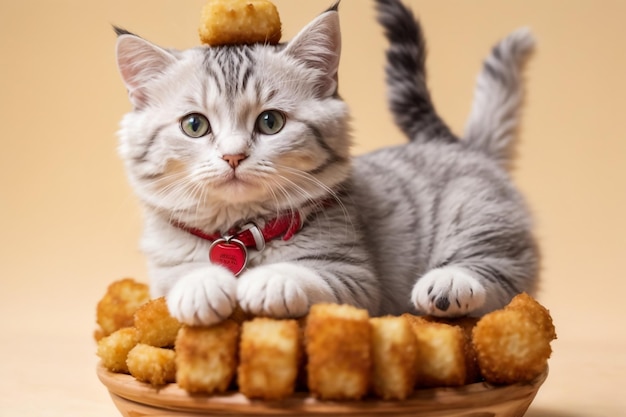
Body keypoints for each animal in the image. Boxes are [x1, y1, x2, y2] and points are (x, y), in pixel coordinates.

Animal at [116, 0, 536, 324]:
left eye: (270, 122)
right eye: (195, 125)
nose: (233, 155)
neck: (241, 231)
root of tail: (463, 146)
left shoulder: (354, 277)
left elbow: (306, 273)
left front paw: (269, 281)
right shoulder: (162, 273)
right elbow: (182, 277)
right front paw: (201, 286)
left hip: (477, 216)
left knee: (503, 276)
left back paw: (447, 285)